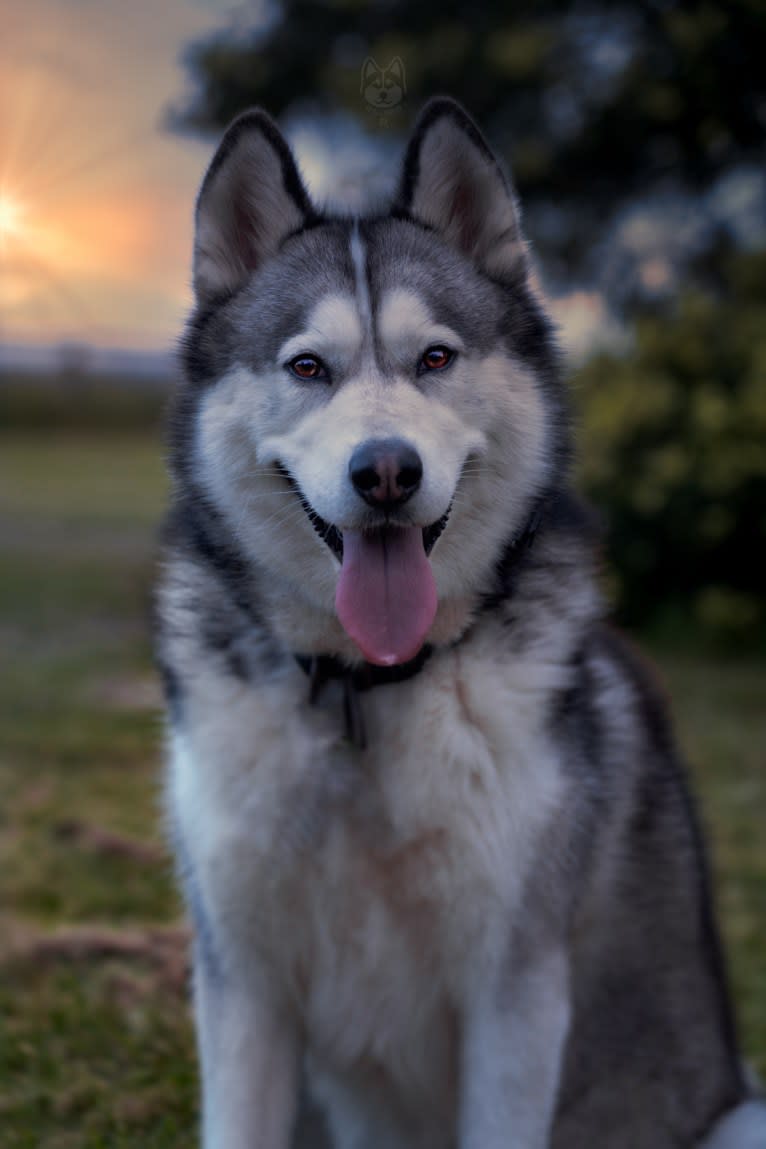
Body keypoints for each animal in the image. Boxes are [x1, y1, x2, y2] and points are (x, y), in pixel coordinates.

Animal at [157, 98, 766, 1149]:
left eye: (435, 357)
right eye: (307, 366)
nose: (386, 471)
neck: (367, 689)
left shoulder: (515, 993)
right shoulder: (244, 988)